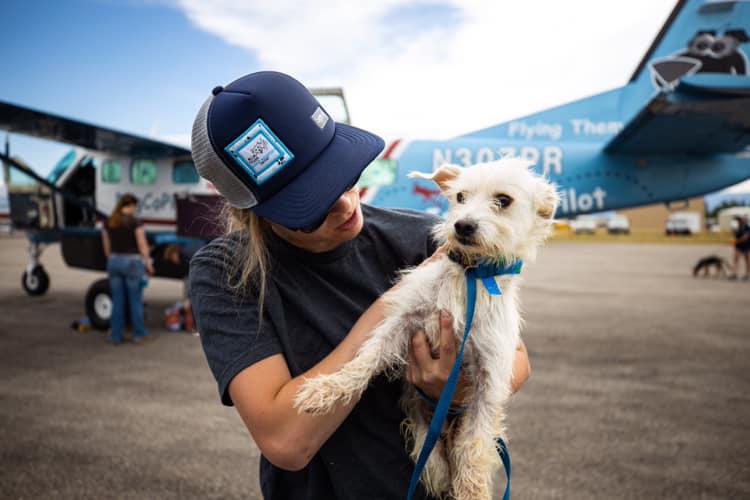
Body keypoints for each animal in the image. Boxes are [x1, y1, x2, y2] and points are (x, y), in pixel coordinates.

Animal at [294, 158, 560, 498]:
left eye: (503, 200)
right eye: (460, 196)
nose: (462, 225)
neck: (470, 275)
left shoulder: (490, 377)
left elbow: (474, 445)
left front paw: (472, 492)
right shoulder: (404, 321)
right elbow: (366, 357)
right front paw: (327, 388)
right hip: (419, 412)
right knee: (429, 452)